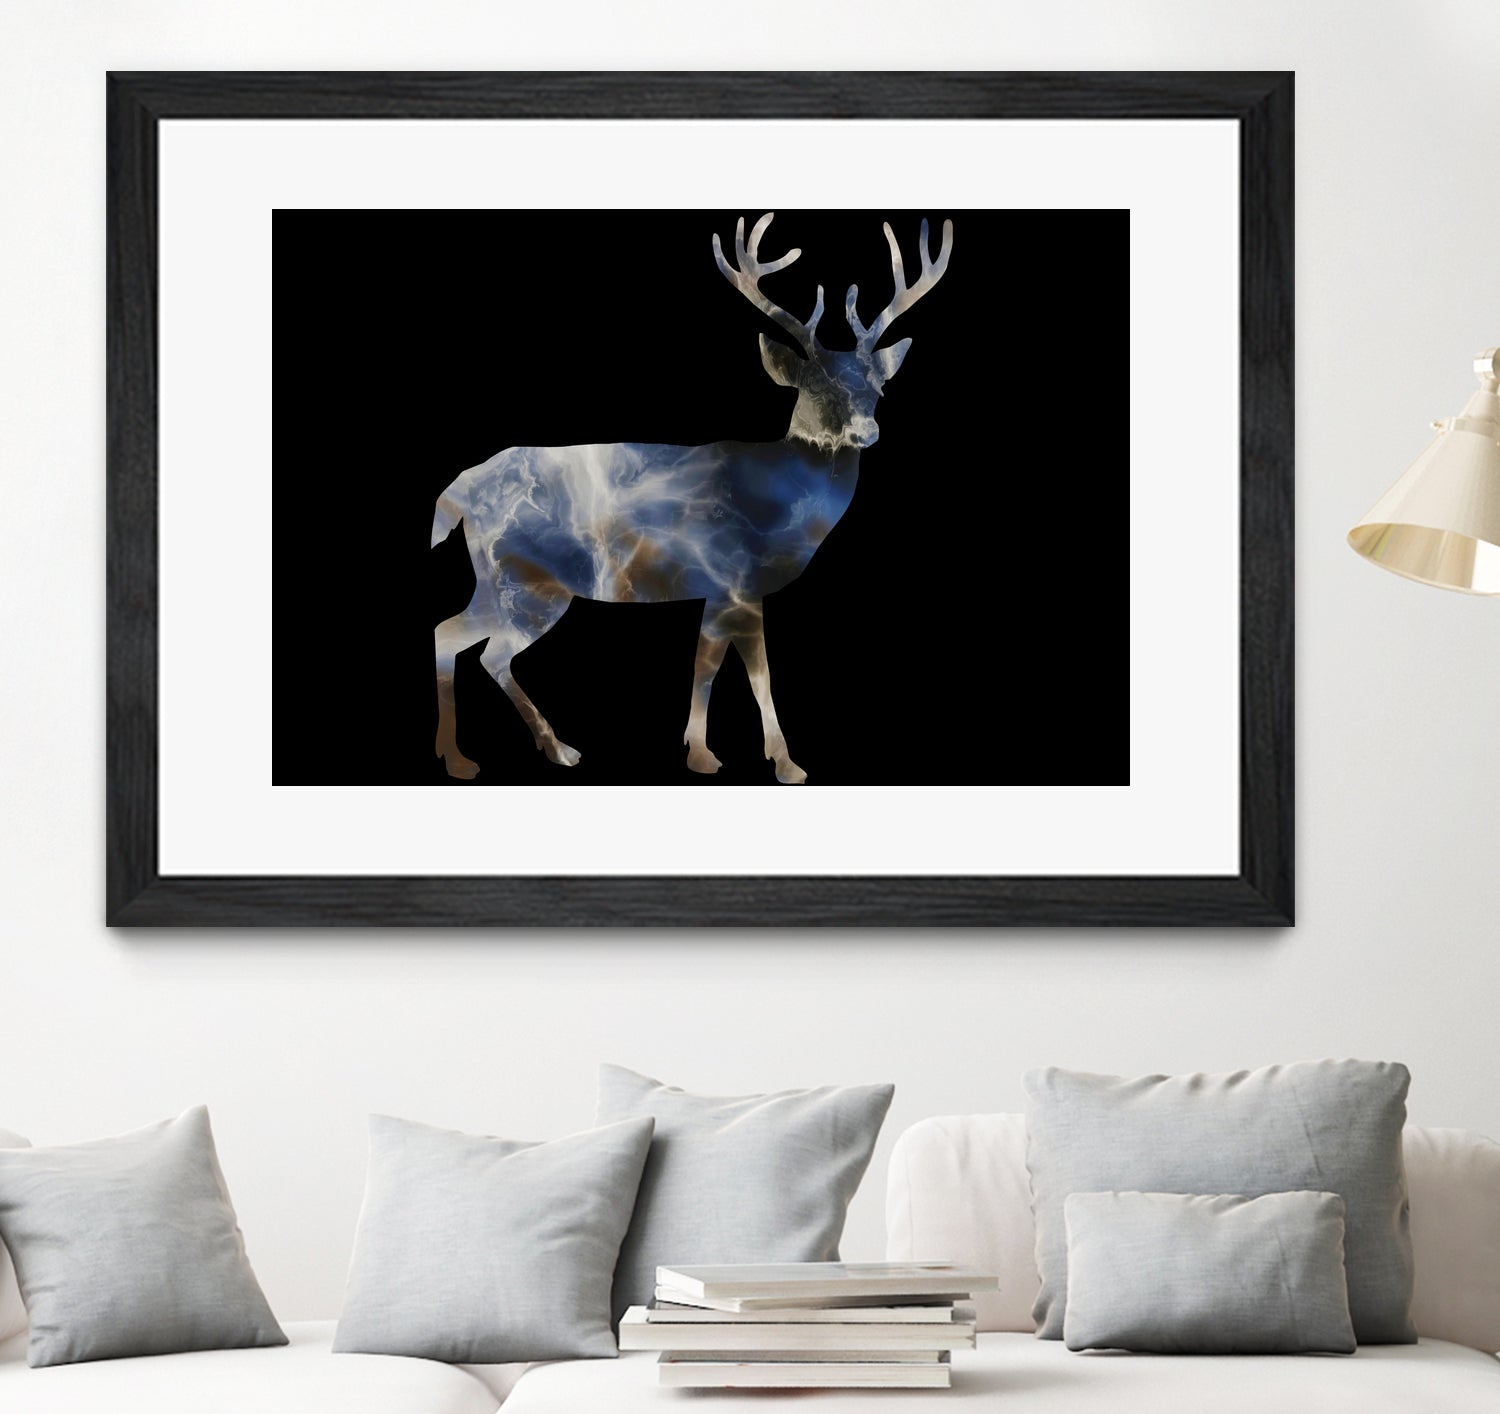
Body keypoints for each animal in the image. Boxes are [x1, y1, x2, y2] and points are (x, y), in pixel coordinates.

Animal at [431, 212, 953, 783]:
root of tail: (460, 491)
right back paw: (508, 753)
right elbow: (751, 673)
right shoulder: (737, 580)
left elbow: (707, 666)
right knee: (482, 648)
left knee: (457, 636)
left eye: (879, 388)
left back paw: (506, 750)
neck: (779, 503)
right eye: (815, 386)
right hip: (527, 581)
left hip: (498, 579)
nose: (867, 431)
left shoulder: (720, 590)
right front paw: (778, 762)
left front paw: (703, 750)